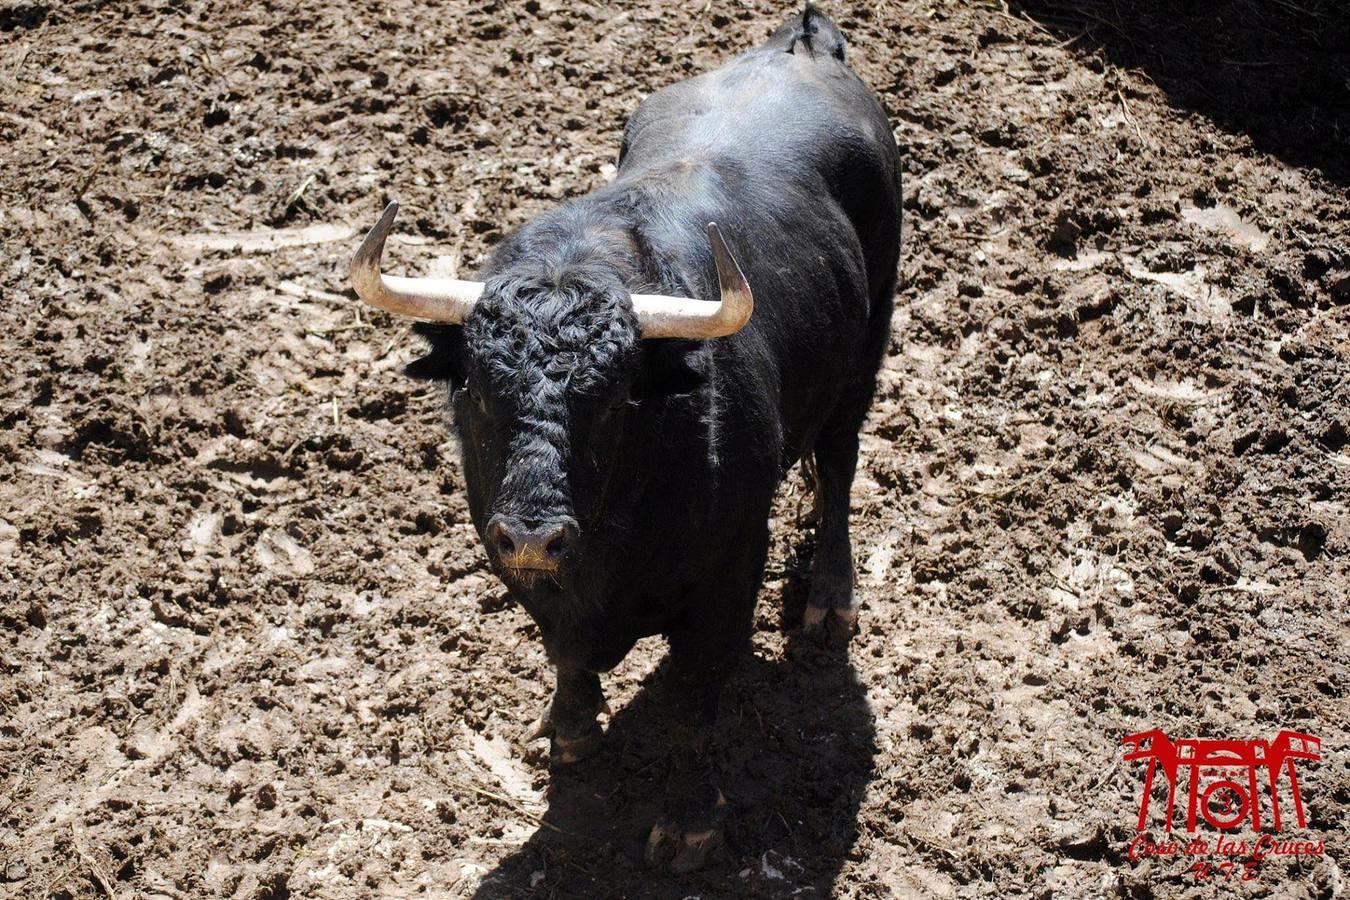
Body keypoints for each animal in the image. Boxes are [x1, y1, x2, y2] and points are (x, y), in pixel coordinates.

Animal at [364, 8, 901, 874]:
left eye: (613, 398)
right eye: (474, 388)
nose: (534, 534)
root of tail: (804, 40)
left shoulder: (726, 581)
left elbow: (693, 703)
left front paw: (687, 825)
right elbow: (565, 657)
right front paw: (571, 730)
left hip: (870, 338)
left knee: (842, 461)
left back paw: (829, 598)